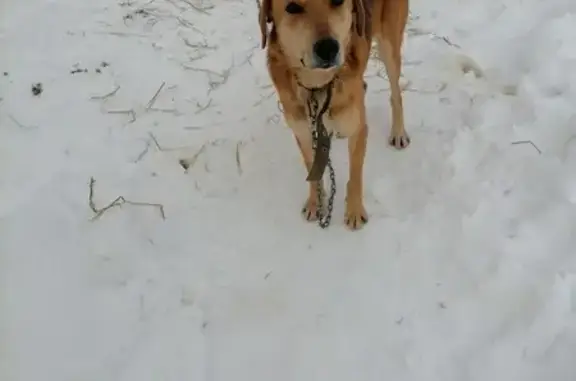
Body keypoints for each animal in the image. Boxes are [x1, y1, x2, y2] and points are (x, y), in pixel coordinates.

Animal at [258, 0, 412, 229]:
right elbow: (312, 172)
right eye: (292, 7)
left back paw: (398, 132)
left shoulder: (358, 130)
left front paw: (354, 211)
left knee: (396, 93)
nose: (328, 48)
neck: (318, 86)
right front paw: (315, 203)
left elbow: (355, 176)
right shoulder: (303, 133)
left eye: (338, 1)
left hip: (389, 44)